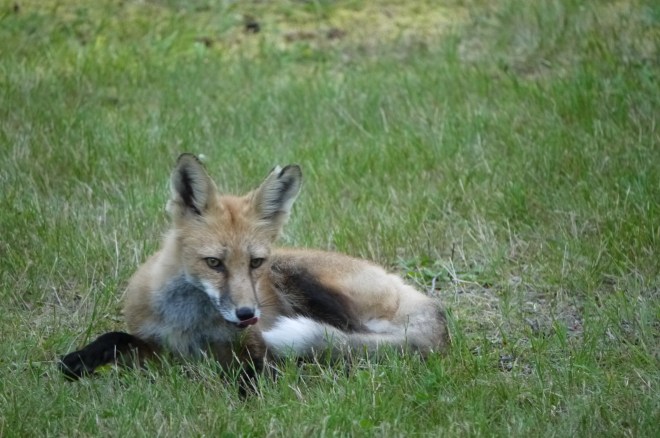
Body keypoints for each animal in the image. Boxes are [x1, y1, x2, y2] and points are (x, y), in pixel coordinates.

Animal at [60, 153, 448, 382]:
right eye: (214, 263)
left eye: (255, 262)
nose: (247, 314)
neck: (191, 325)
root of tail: (423, 301)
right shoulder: (161, 347)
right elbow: (116, 338)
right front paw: (78, 360)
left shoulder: (254, 344)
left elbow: (254, 369)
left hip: (298, 277)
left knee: (351, 342)